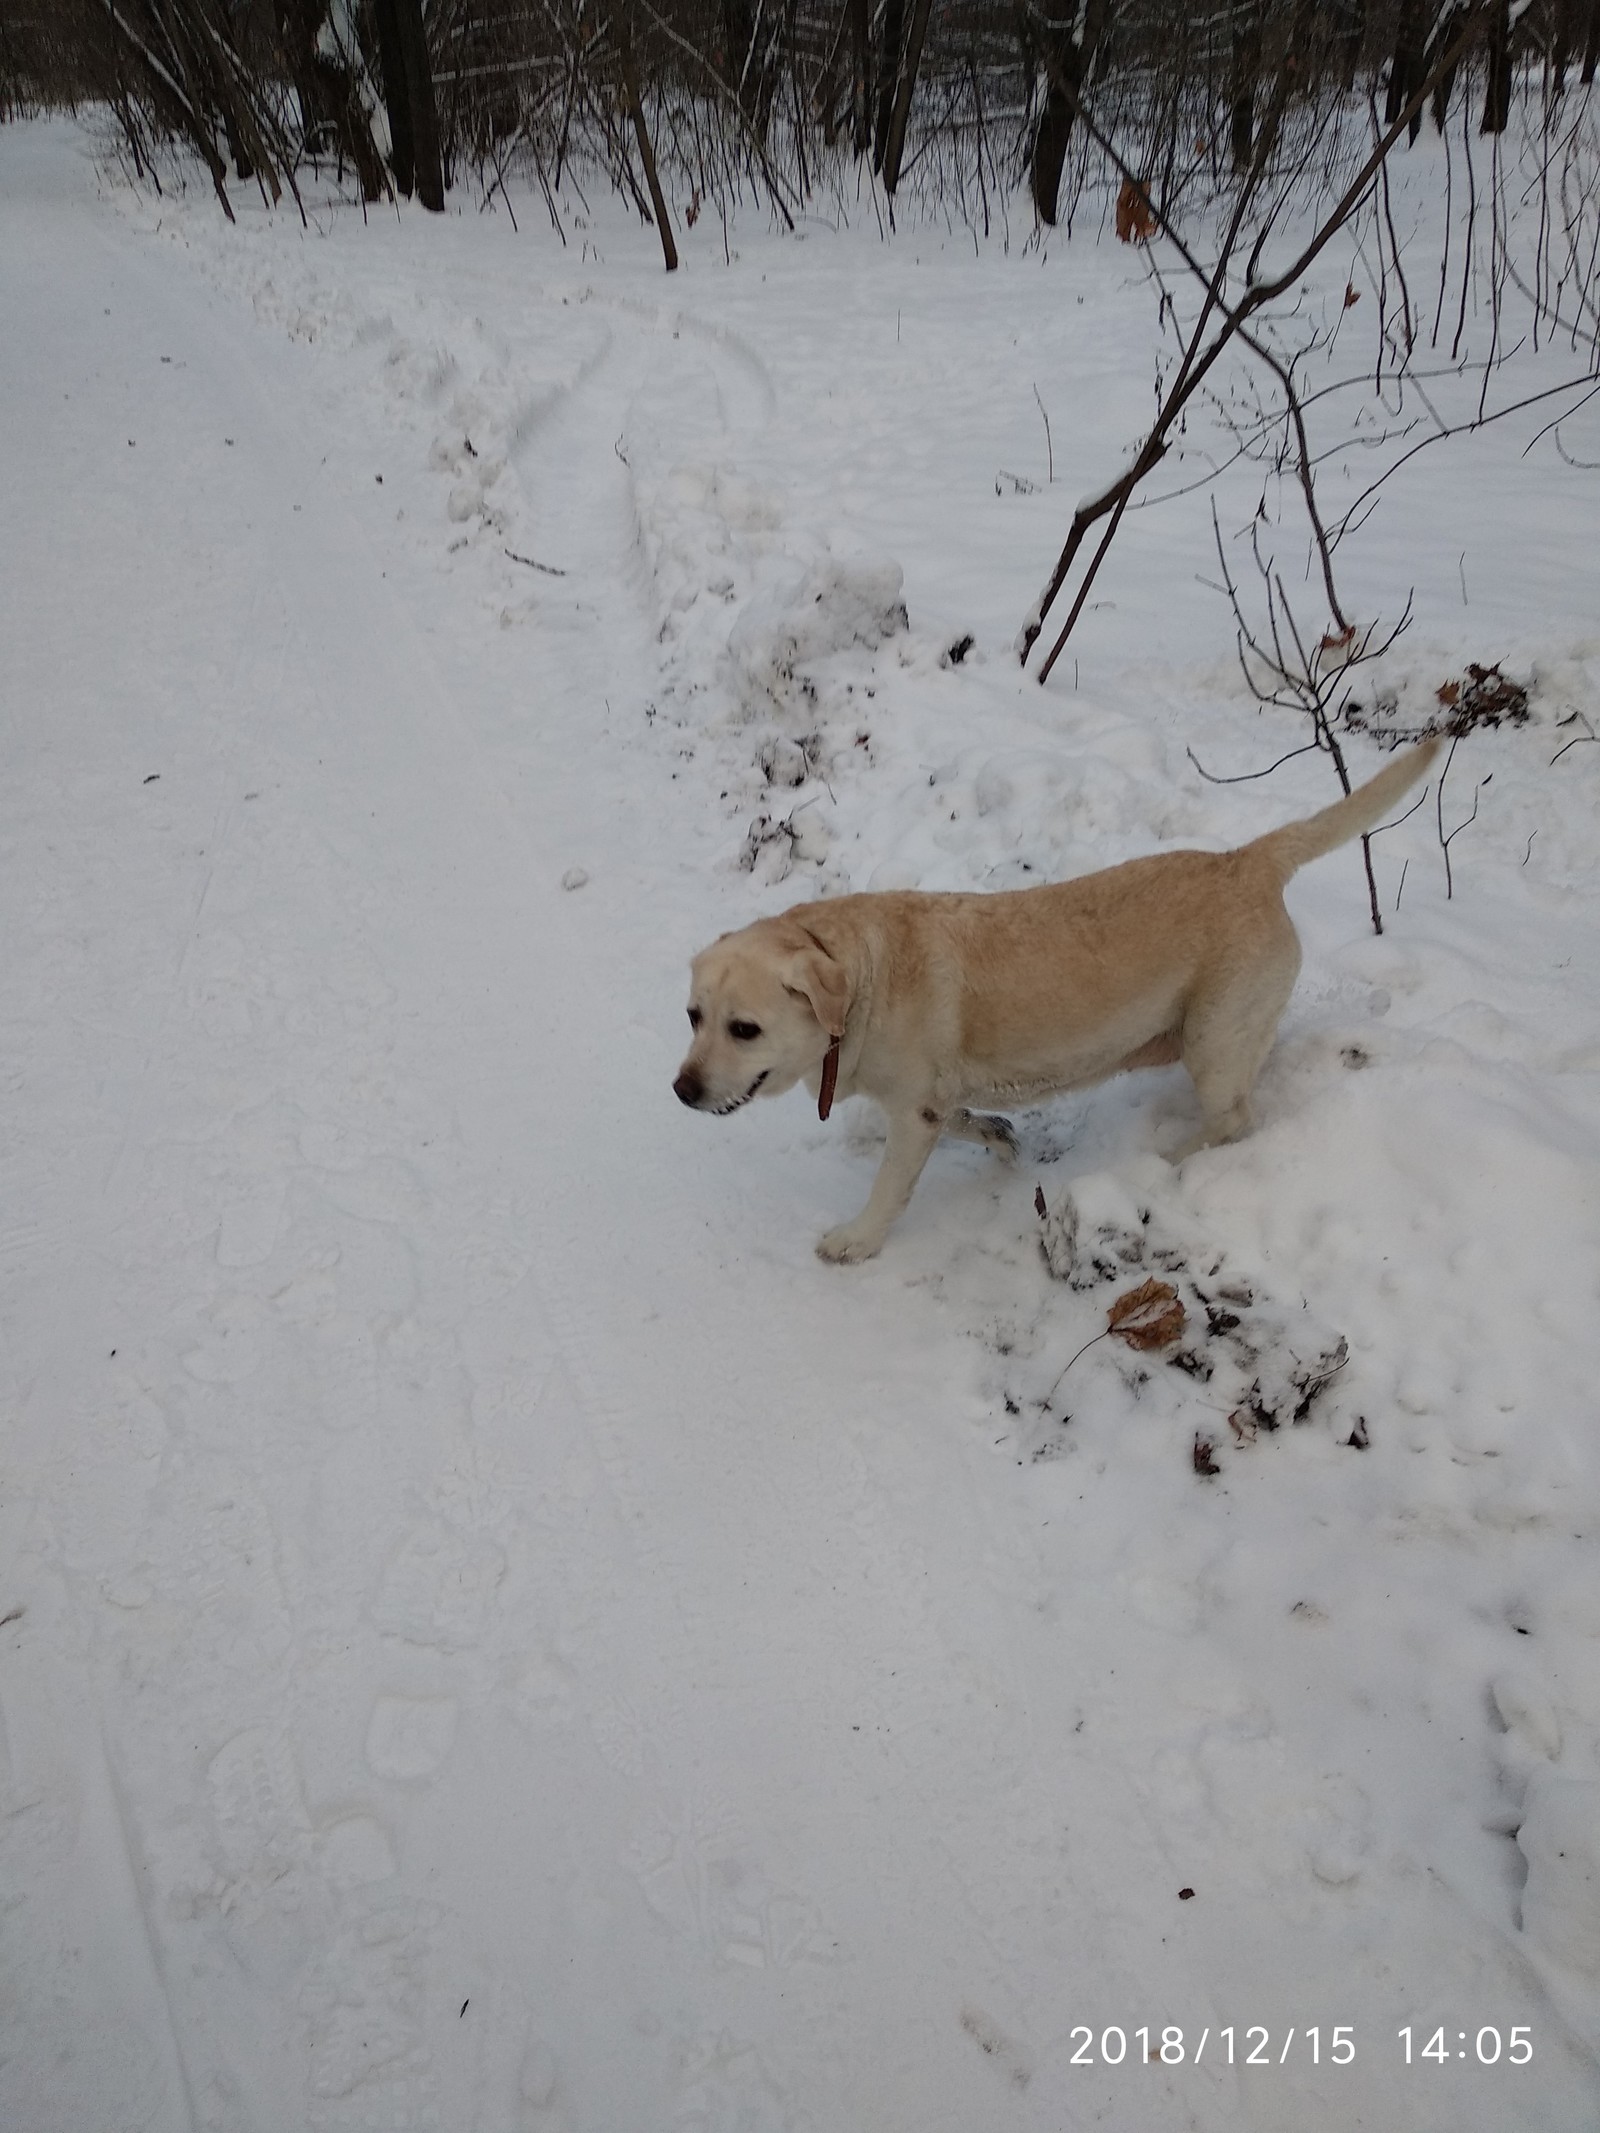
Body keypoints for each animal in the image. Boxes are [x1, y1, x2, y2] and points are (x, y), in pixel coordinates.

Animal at [674, 742, 1442, 1254]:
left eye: (744, 1029)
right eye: (693, 1016)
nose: (682, 1090)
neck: (859, 976)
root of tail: (1248, 859)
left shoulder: (914, 1111)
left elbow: (890, 1187)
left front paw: (855, 1239)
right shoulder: (933, 1101)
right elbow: (973, 1122)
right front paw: (1001, 1138)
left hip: (1212, 1039)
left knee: (1232, 1119)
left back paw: (1169, 1159)